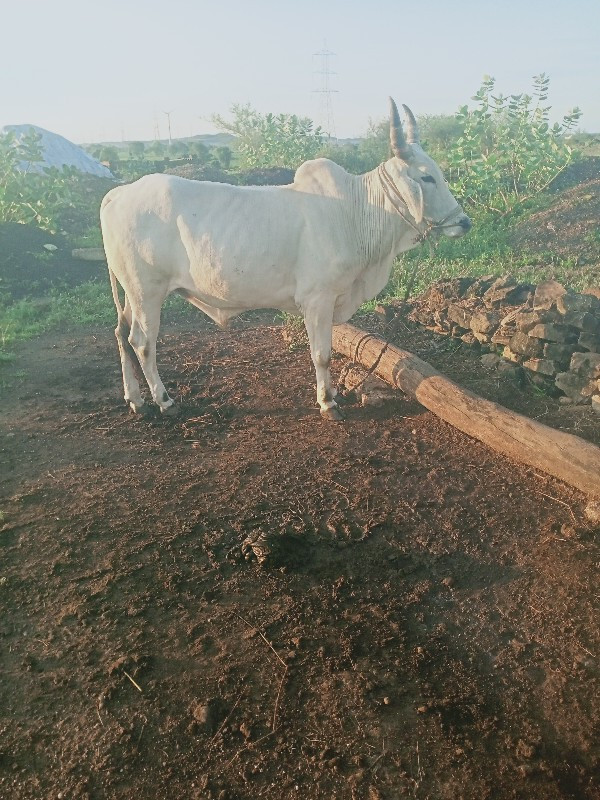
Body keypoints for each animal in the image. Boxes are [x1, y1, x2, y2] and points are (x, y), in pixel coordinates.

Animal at [101, 100, 472, 418]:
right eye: (426, 176)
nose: (464, 222)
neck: (357, 212)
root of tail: (119, 193)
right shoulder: (318, 298)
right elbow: (321, 354)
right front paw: (328, 403)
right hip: (147, 291)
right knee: (142, 343)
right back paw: (165, 402)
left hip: (134, 293)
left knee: (121, 333)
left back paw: (136, 400)